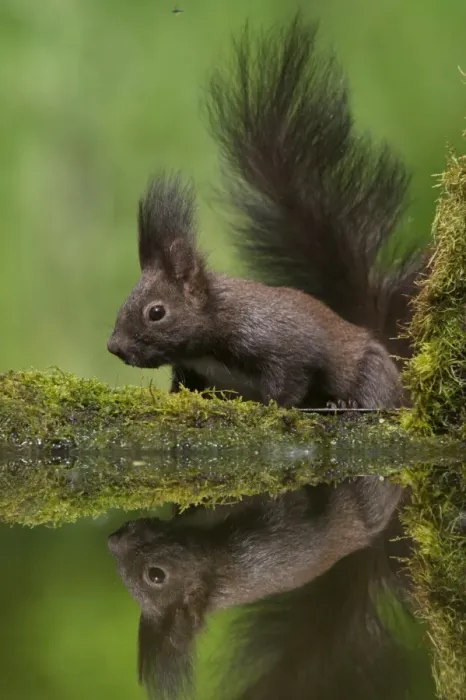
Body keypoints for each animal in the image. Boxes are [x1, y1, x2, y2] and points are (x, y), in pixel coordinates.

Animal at [107, 14, 425, 410]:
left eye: (156, 312)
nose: (114, 347)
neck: (207, 345)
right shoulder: (193, 371)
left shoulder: (284, 346)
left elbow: (289, 381)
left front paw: (275, 406)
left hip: (370, 369)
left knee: (375, 393)